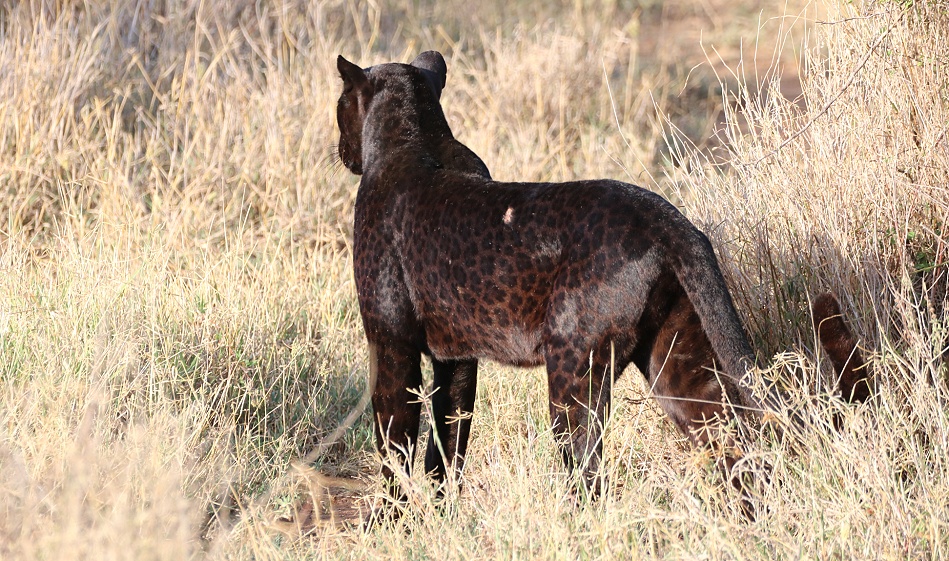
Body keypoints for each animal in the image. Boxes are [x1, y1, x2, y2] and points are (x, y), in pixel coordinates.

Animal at [334, 50, 872, 511]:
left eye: (340, 104)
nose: (341, 151)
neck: (414, 132)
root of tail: (670, 221)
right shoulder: (459, 355)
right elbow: (449, 436)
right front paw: (442, 513)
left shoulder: (391, 340)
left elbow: (395, 436)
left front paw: (393, 520)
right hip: (675, 357)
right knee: (727, 436)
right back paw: (746, 518)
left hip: (573, 367)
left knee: (586, 465)